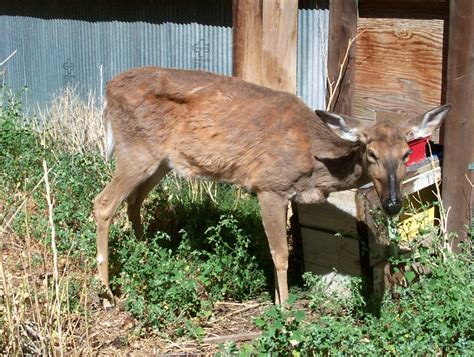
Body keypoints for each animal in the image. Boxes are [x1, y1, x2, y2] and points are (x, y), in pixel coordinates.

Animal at [93, 67, 452, 304]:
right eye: (371, 152)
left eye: (406, 154)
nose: (392, 203)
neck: (314, 163)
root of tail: (108, 89)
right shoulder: (269, 186)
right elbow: (280, 255)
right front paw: (285, 309)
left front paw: (280, 301)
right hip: (136, 151)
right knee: (103, 203)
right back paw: (108, 292)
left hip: (161, 161)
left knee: (133, 201)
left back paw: (147, 255)